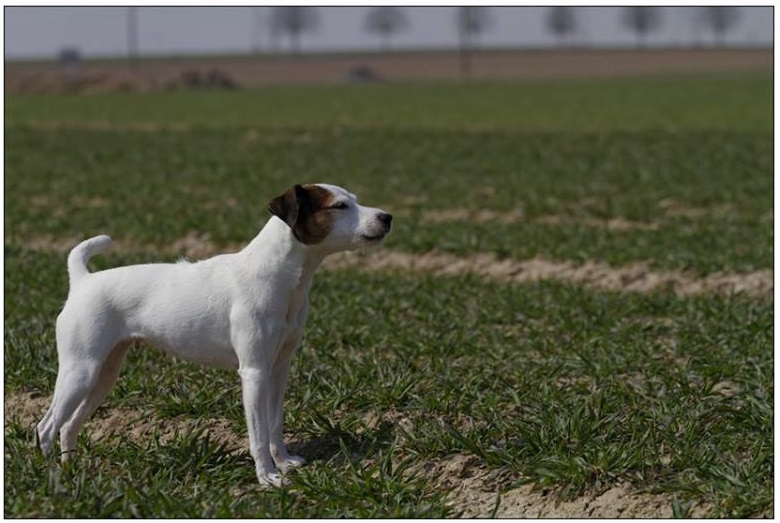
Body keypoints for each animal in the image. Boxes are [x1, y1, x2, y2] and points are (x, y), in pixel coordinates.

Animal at [35, 183, 390, 488]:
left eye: (355, 199)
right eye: (339, 206)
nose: (387, 217)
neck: (278, 276)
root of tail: (82, 281)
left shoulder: (278, 369)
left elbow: (275, 423)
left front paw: (283, 462)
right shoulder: (254, 373)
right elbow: (258, 434)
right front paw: (268, 477)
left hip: (104, 374)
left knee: (68, 425)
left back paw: (72, 470)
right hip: (79, 371)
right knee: (46, 426)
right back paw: (51, 476)